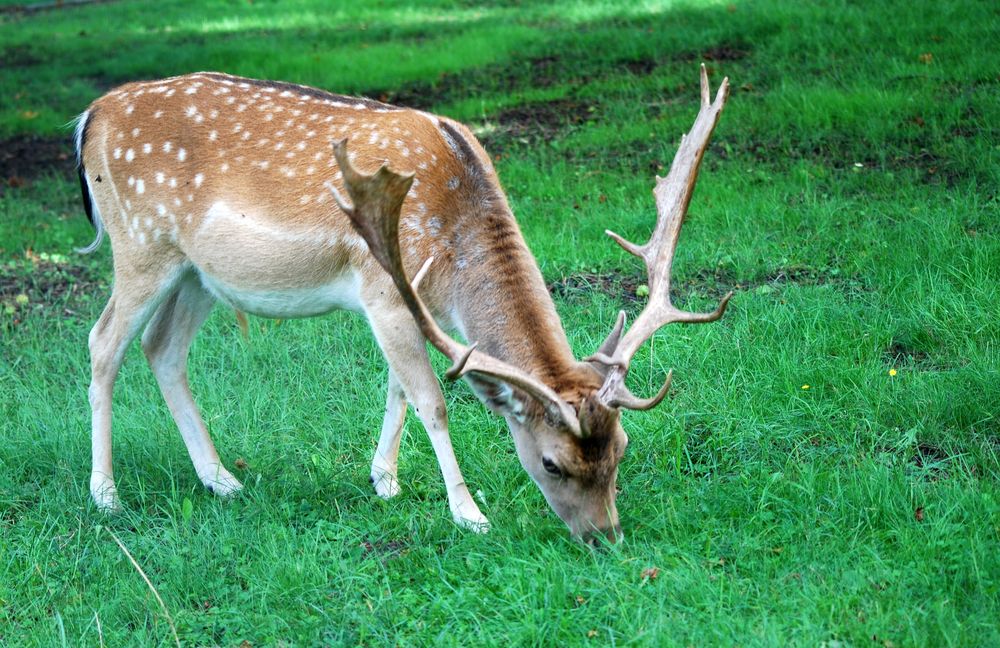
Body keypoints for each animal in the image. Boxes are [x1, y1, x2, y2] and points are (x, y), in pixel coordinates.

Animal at [74, 64, 732, 540]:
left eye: (621, 449)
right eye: (551, 463)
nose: (605, 536)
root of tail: (90, 117)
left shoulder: (417, 304)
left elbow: (397, 386)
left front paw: (384, 479)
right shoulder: (384, 288)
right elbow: (431, 400)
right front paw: (469, 514)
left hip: (197, 274)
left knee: (162, 348)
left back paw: (221, 480)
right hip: (141, 244)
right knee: (102, 341)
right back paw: (105, 494)